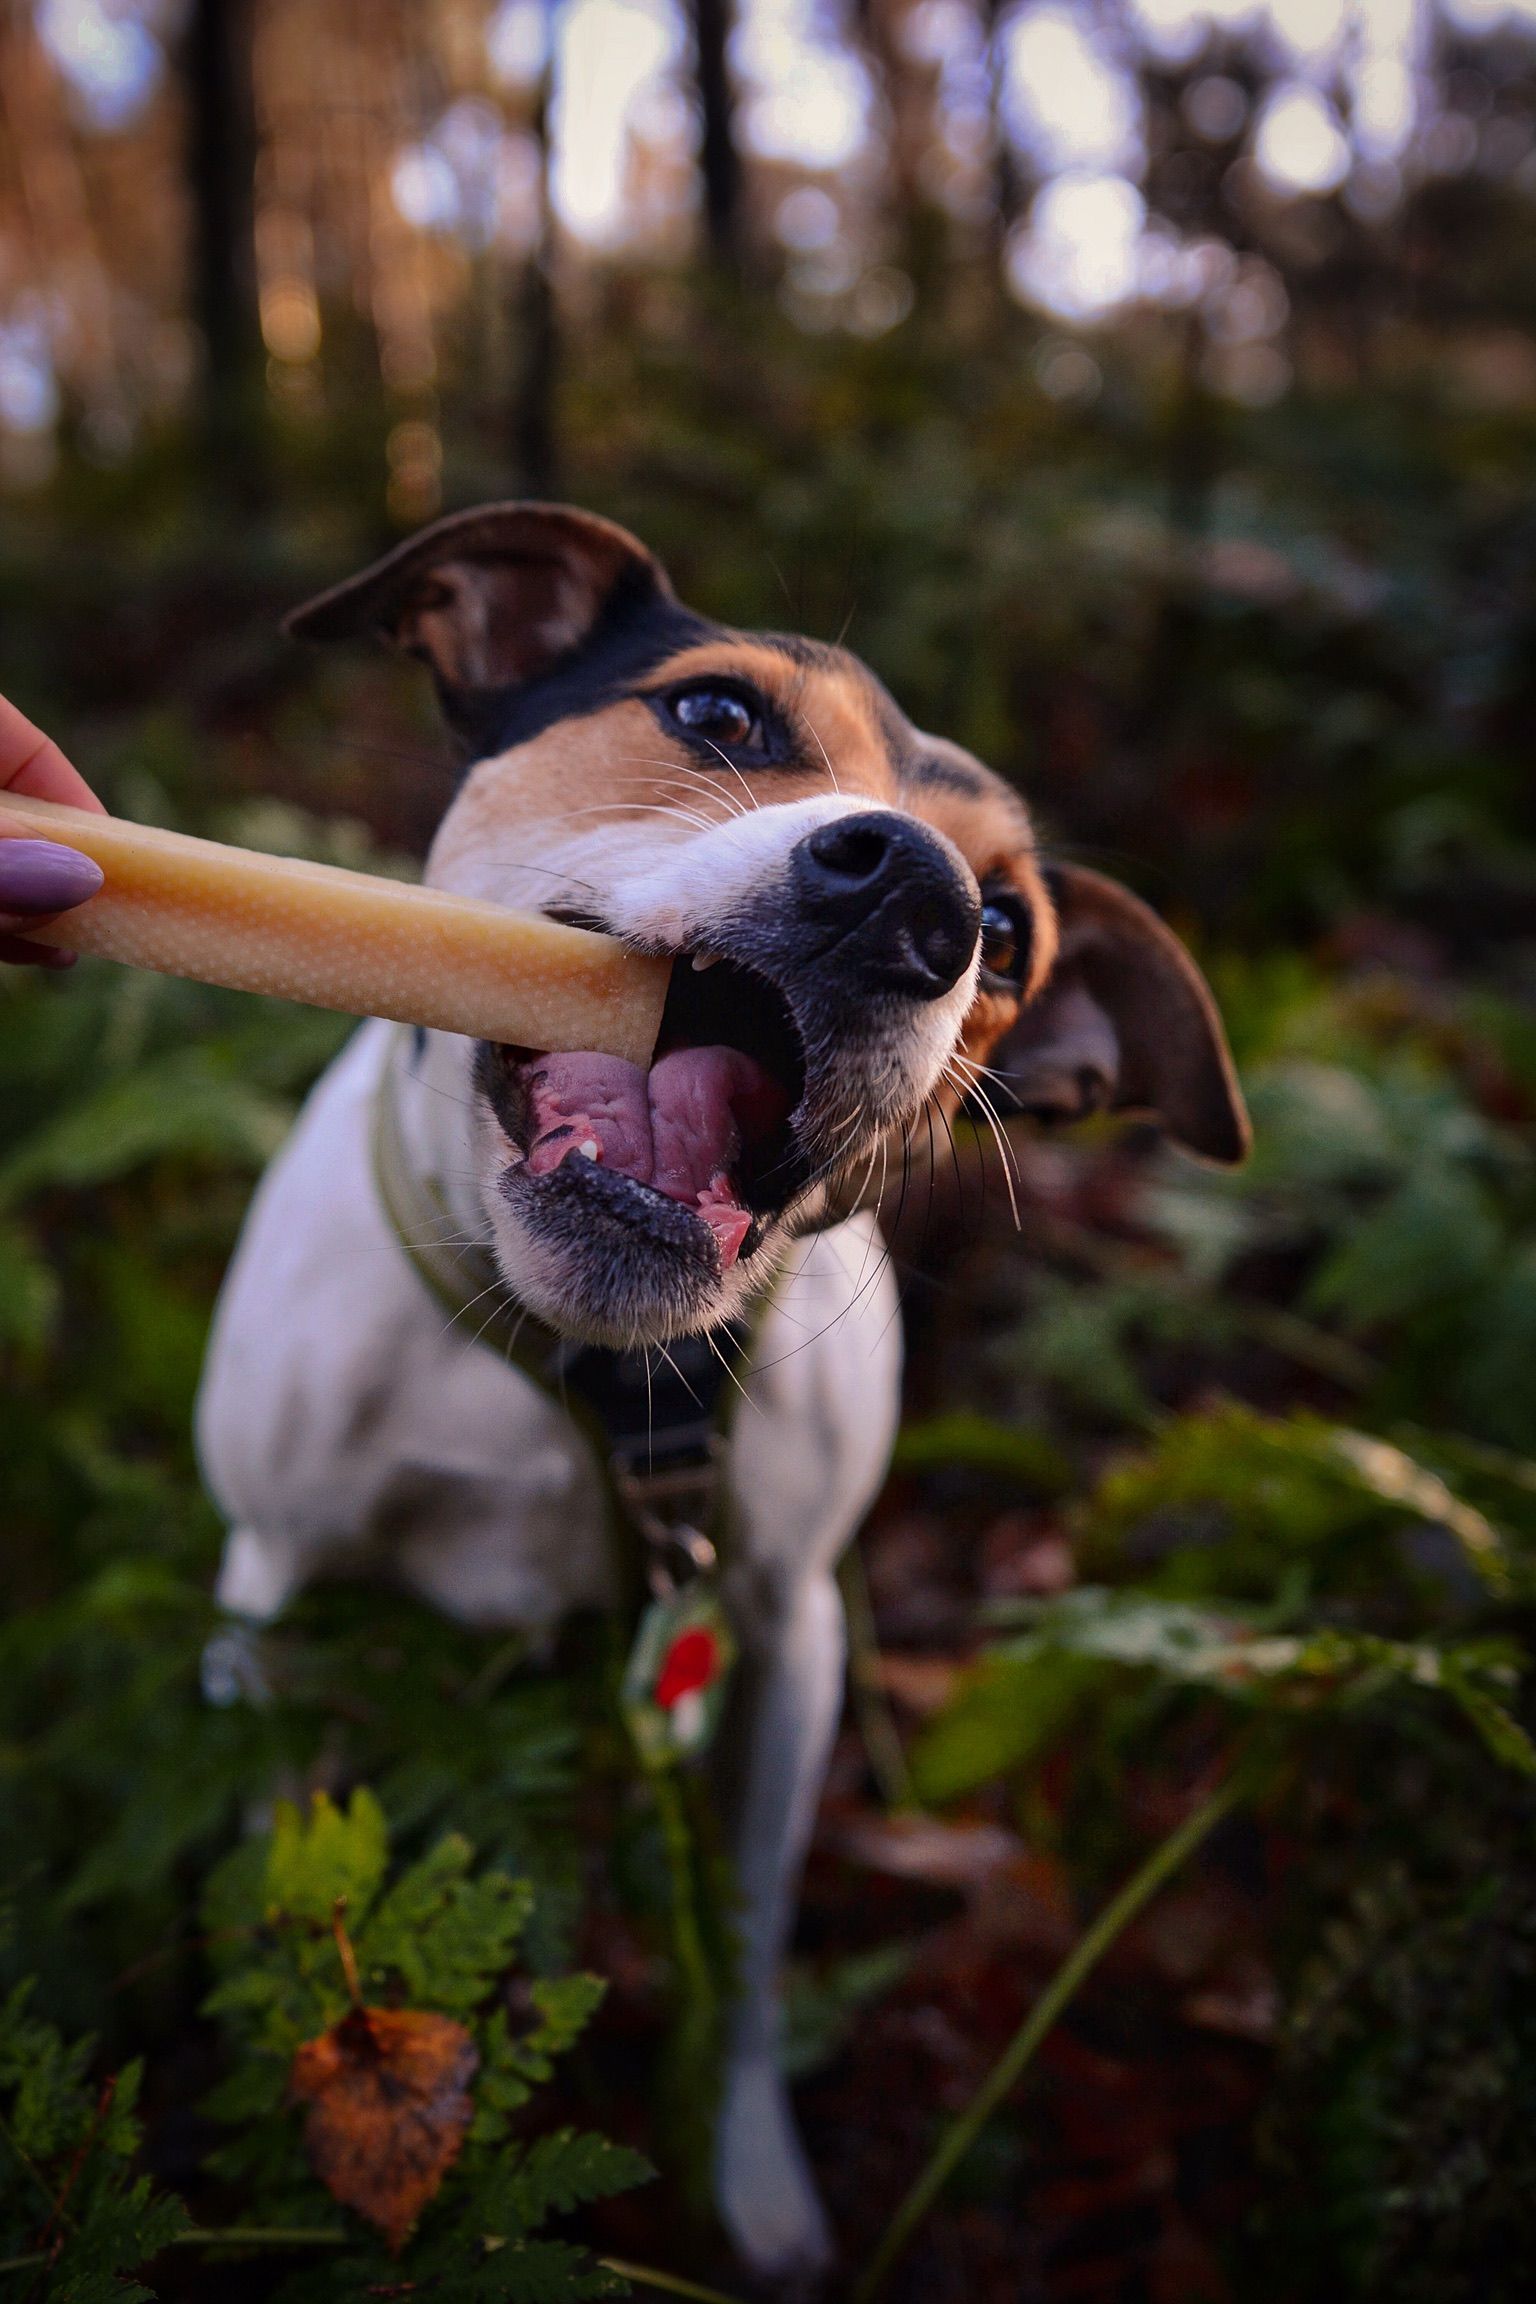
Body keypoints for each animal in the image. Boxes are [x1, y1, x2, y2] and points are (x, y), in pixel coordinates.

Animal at [198, 504, 1252, 2285]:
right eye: (717, 714)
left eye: (1011, 935)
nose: (917, 898)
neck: (575, 1357)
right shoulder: (276, 1599)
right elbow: (287, 1864)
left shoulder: (787, 1627)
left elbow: (750, 1943)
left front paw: (750, 2178)